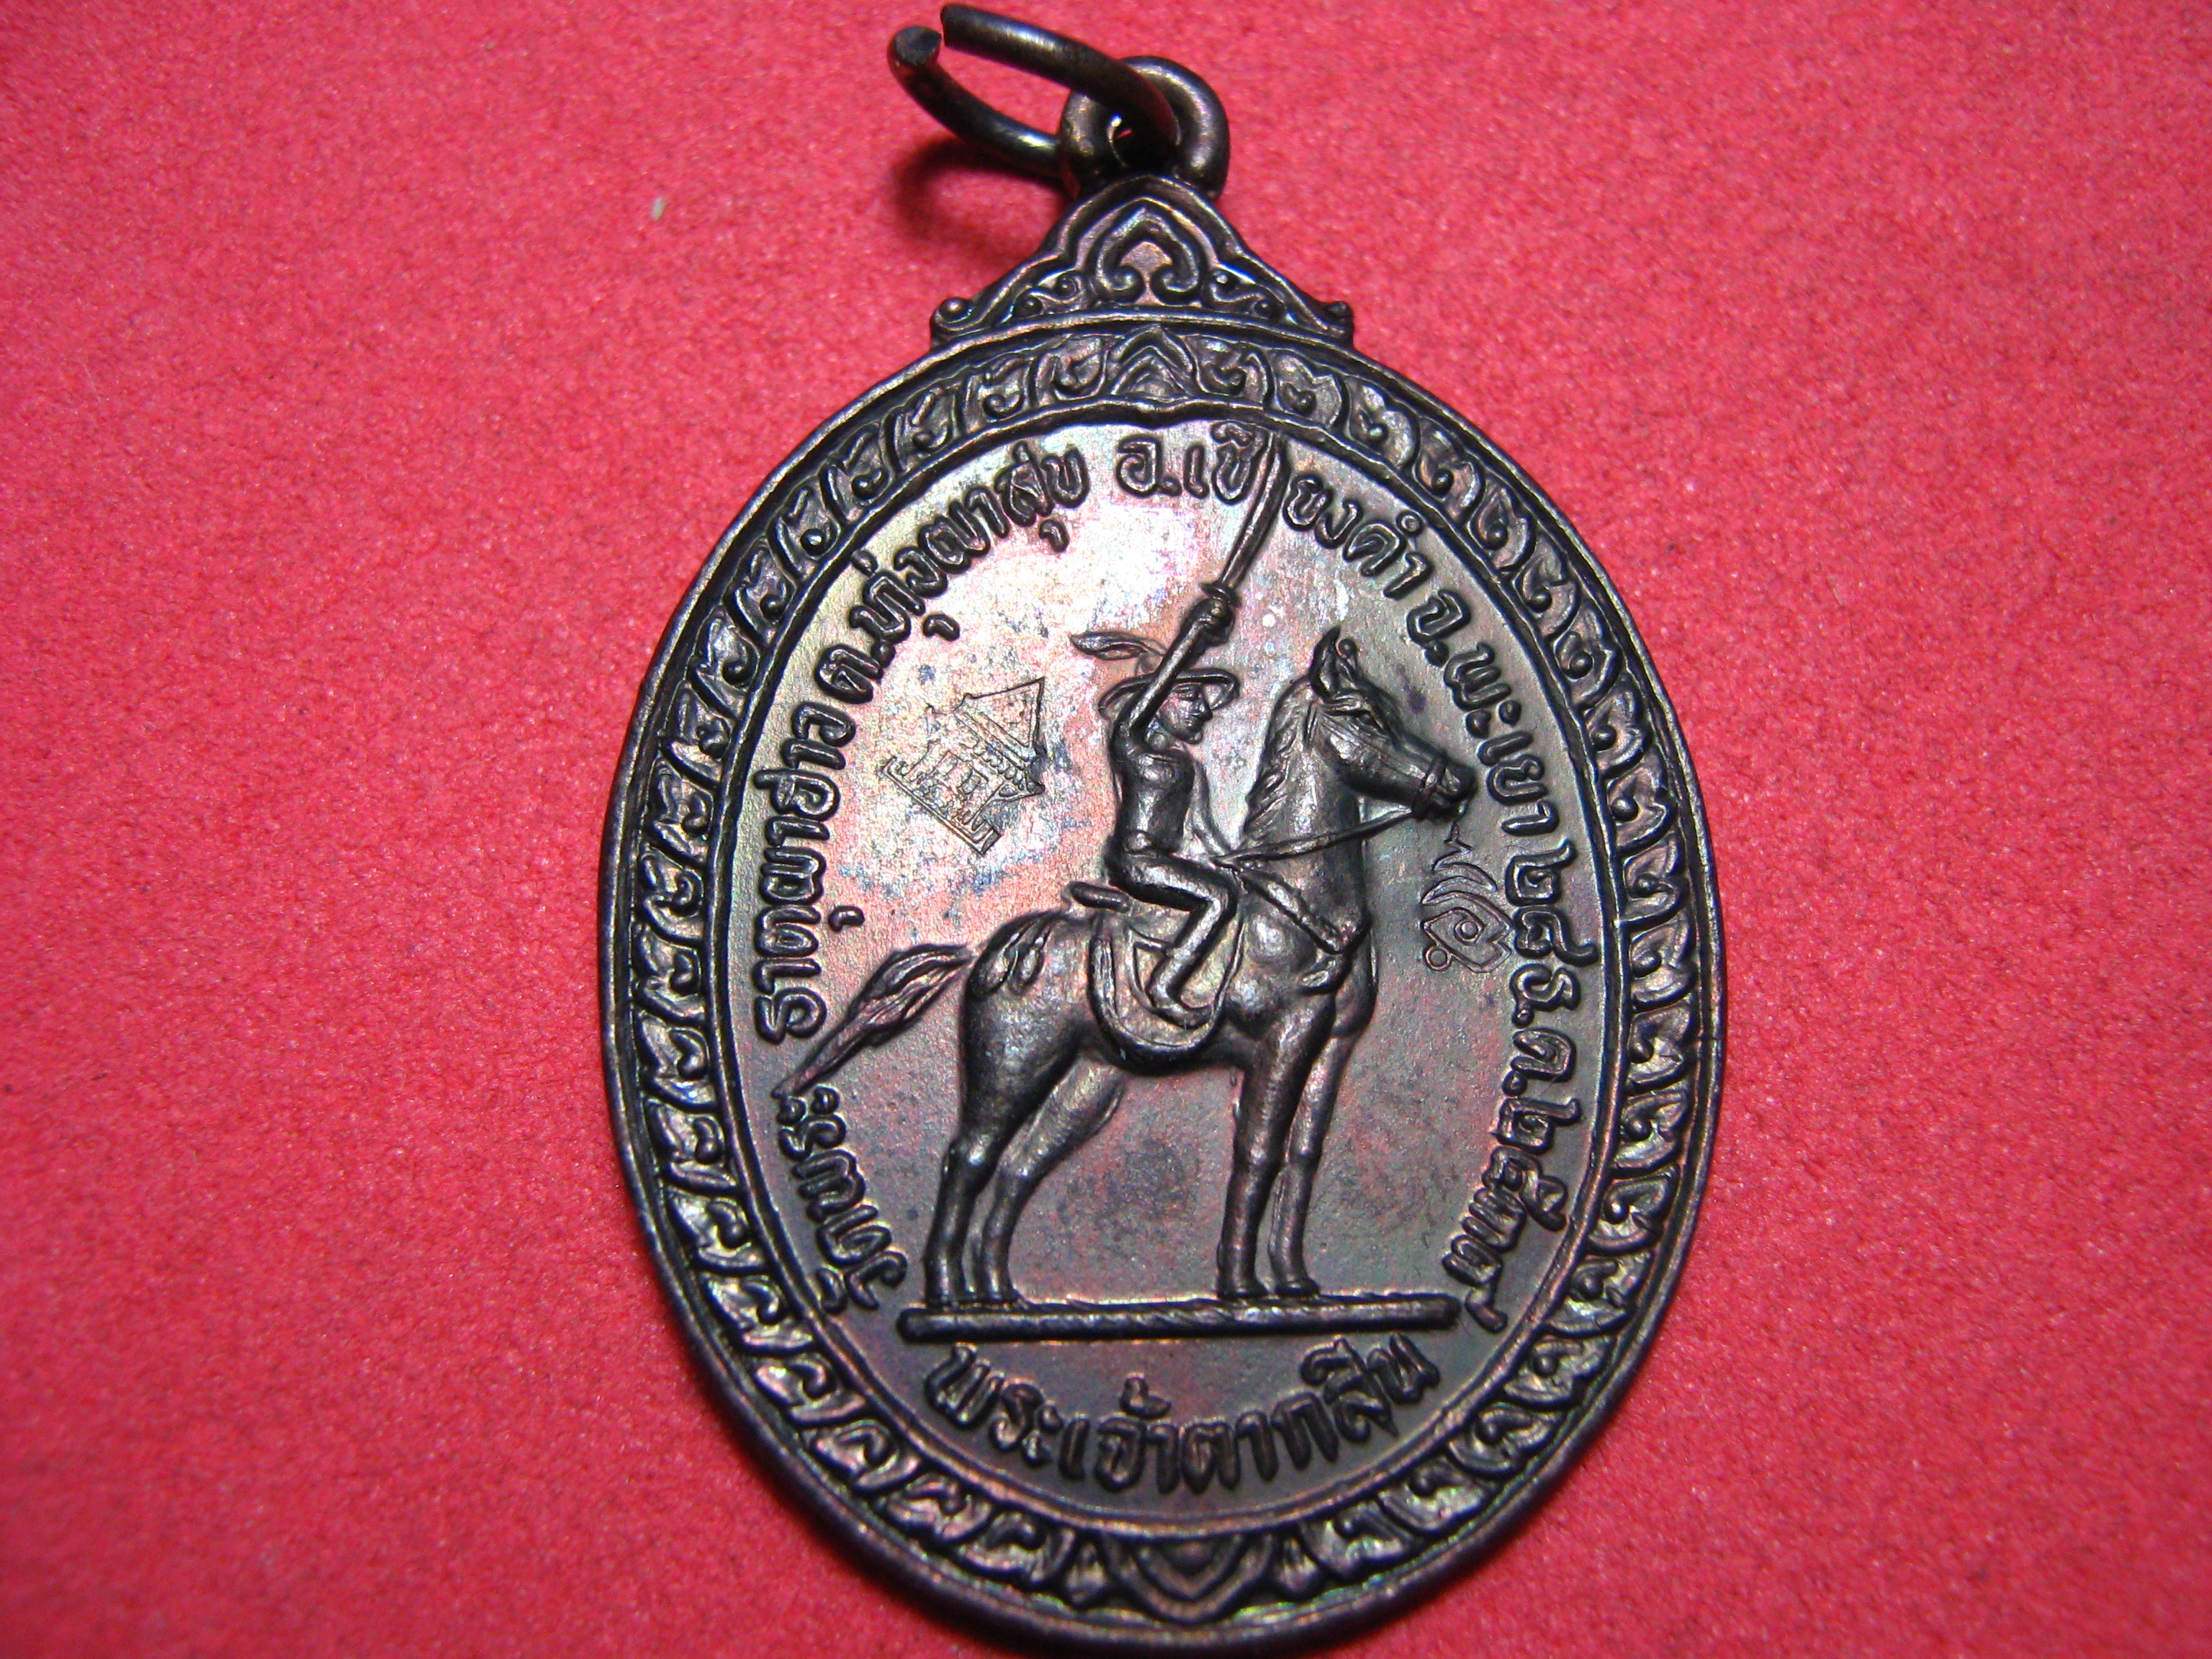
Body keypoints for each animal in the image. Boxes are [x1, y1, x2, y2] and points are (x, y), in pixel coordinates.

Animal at [912, 628, 1475, 1306]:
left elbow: (1305, 1154)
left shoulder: (1333, 1047)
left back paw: (997, 1290)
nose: (1457, 782)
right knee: (970, 1155)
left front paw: (1294, 1280)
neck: (1294, 906)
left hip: (1089, 1081)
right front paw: (1241, 1285)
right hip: (1015, 1062)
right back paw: (949, 1290)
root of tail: (1015, 942)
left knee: (1021, 1166)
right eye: (1367, 717)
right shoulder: (1284, 1041)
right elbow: (1259, 1151)